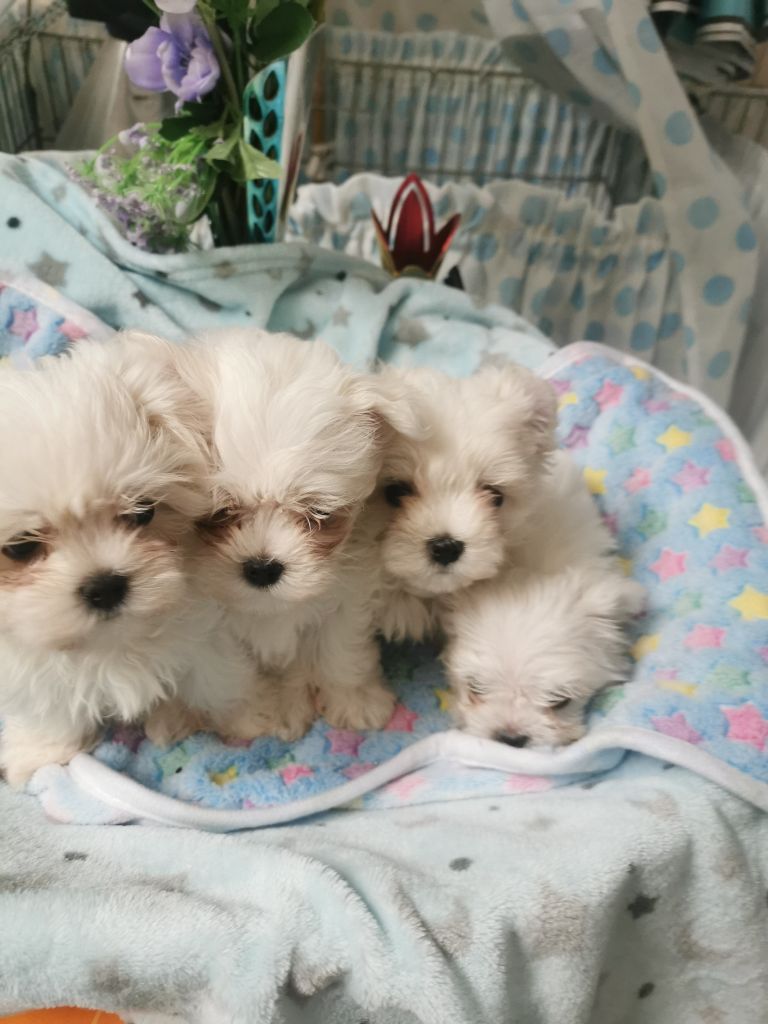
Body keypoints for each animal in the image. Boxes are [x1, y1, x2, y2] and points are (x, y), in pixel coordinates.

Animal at [0, 333, 262, 782]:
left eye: (142, 512)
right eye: (20, 547)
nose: (105, 586)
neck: (114, 641)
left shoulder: (211, 634)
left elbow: (215, 679)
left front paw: (238, 717)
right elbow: (50, 705)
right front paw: (42, 750)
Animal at [174, 327, 421, 737]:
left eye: (317, 513)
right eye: (219, 513)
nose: (262, 567)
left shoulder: (346, 596)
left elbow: (341, 650)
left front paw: (353, 699)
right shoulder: (206, 630)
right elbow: (227, 676)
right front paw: (255, 715)